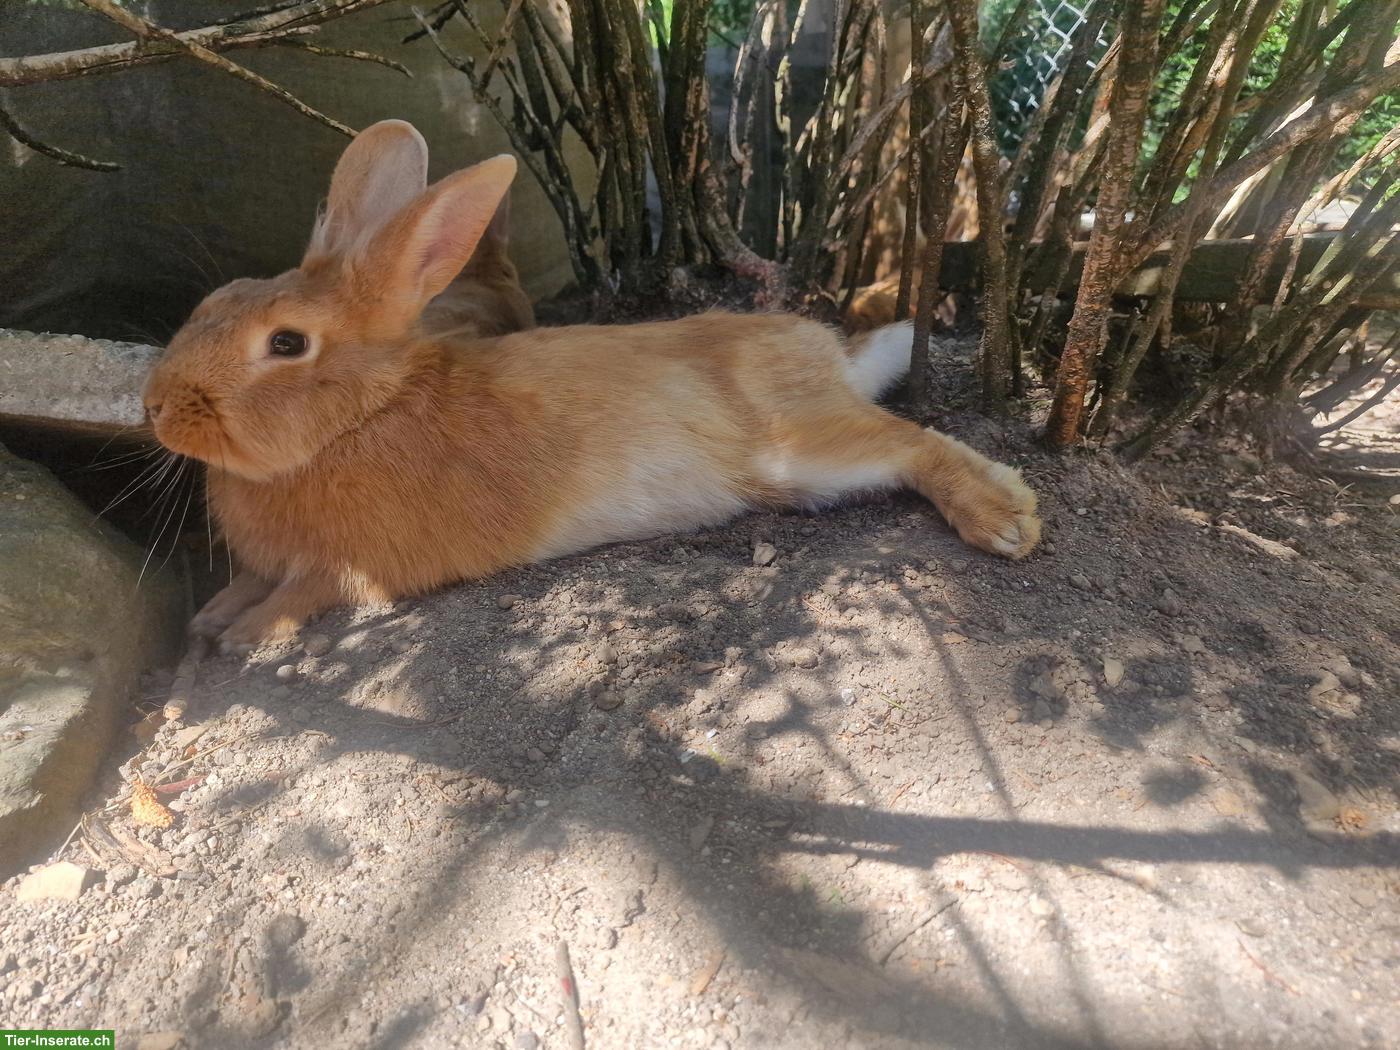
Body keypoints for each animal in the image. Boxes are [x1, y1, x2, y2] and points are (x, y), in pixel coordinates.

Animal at [142, 120, 1040, 651]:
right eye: (216, 300)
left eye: (287, 343)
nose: (154, 408)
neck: (359, 416)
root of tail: (825, 352)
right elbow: (256, 579)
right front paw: (213, 617)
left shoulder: (354, 565)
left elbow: (305, 592)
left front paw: (245, 635)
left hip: (801, 446)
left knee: (913, 442)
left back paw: (1005, 519)